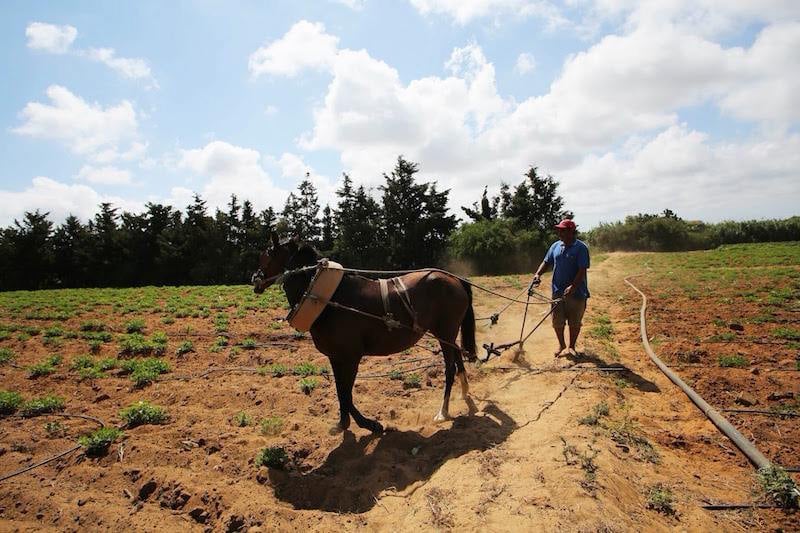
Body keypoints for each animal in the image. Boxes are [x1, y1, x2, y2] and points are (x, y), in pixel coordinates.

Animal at [252, 235, 476, 434]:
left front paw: (369, 424)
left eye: (266, 255)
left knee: (450, 367)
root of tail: (454, 279)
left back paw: (443, 412)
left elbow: (346, 393)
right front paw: (343, 423)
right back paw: (466, 395)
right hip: (448, 333)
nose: (255, 279)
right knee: (458, 357)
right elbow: (340, 390)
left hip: (445, 331)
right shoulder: (335, 356)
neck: (330, 298)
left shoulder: (351, 356)